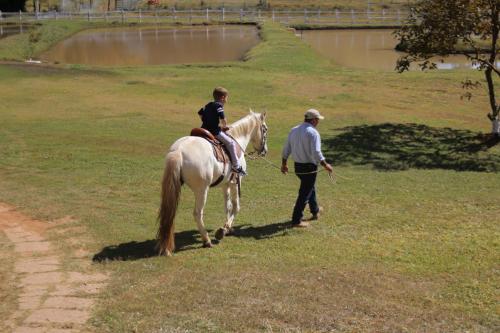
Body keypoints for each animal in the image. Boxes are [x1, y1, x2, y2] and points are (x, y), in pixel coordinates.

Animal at [157, 111, 268, 254]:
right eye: (265, 129)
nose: (264, 151)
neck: (237, 140)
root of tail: (179, 151)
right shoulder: (235, 183)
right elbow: (236, 206)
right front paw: (223, 229)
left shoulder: (226, 184)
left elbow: (227, 206)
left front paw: (227, 228)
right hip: (202, 190)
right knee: (197, 214)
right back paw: (206, 240)